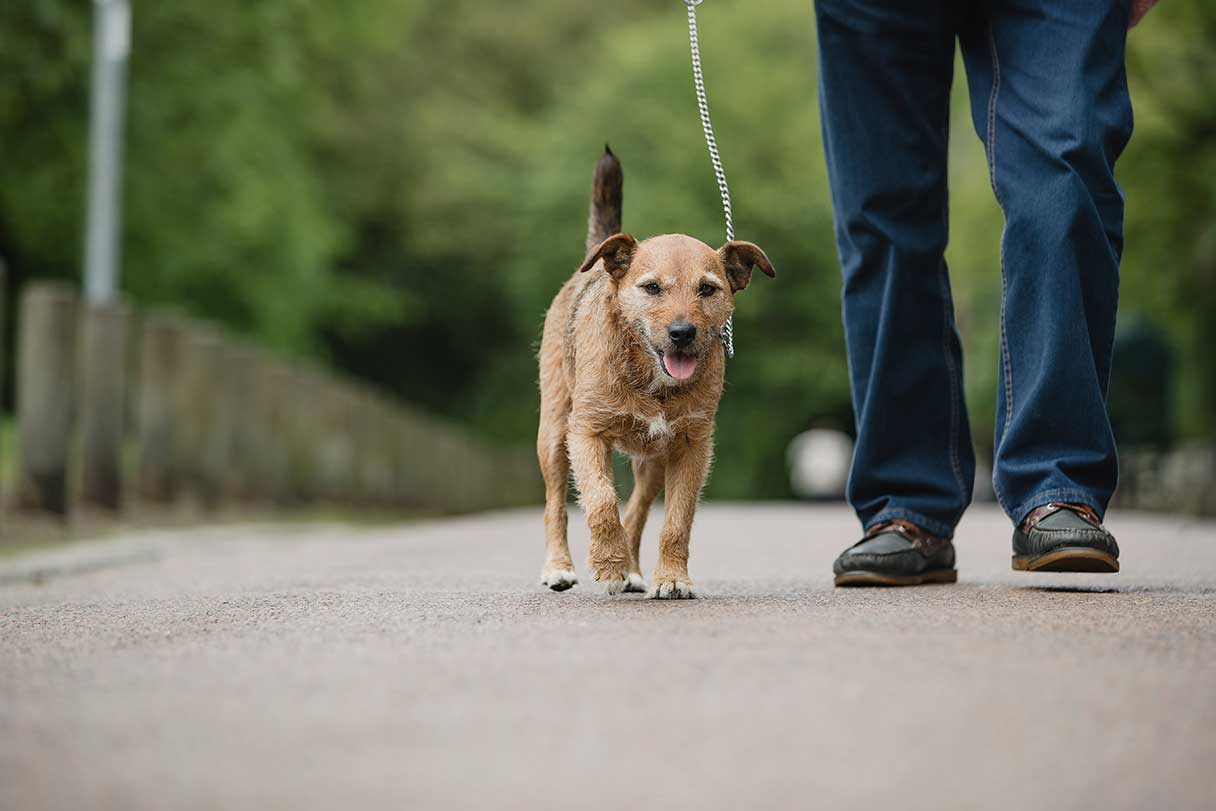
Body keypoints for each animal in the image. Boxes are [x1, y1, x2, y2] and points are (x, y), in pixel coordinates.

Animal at [537, 148, 773, 600]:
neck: (651, 380)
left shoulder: (692, 447)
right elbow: (601, 502)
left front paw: (672, 577)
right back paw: (560, 567)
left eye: (707, 289)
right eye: (651, 288)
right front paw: (608, 565)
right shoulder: (586, 433)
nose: (682, 333)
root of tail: (595, 265)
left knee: (638, 511)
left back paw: (632, 569)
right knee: (556, 503)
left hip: (653, 464)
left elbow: (676, 521)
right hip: (555, 433)